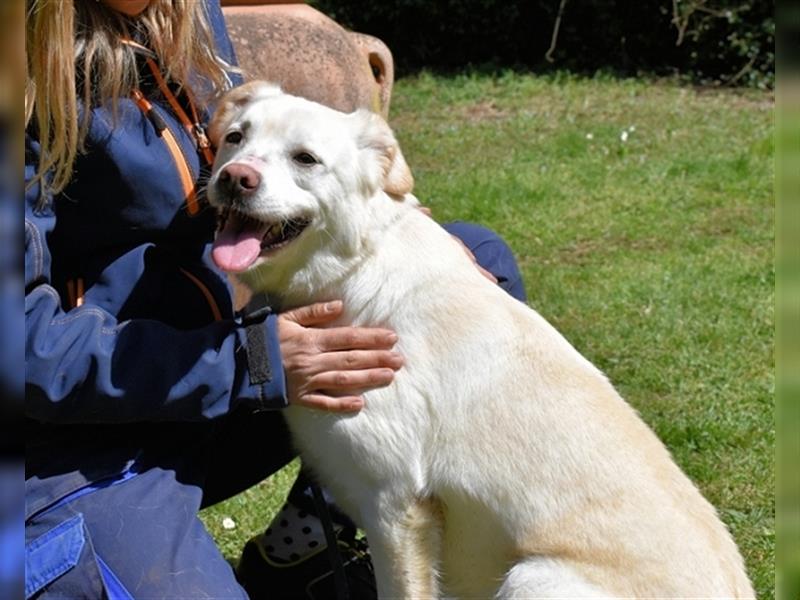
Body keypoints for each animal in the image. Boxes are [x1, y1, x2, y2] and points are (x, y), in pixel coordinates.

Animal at [203, 82, 752, 596]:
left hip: (530, 576)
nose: (235, 178)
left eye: (305, 158)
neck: (354, 269)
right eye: (236, 138)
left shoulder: (396, 506)